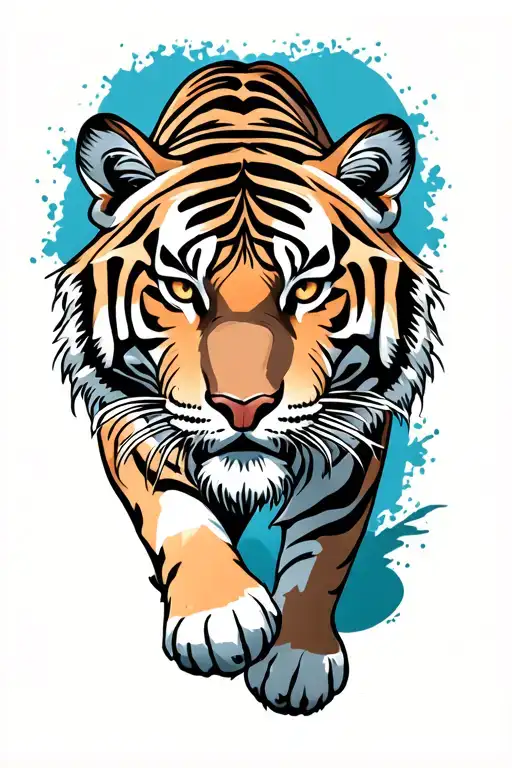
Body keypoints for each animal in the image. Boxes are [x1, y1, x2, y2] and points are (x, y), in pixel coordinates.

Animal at [52, 59, 441, 716]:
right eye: (181, 289)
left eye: (306, 288)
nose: (243, 408)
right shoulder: (130, 414)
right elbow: (178, 508)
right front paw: (221, 614)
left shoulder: (357, 426)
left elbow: (323, 549)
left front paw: (298, 656)